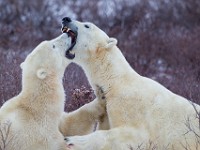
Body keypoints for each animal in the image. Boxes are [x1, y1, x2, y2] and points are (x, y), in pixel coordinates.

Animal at [61, 17, 200, 150]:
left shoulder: (131, 105)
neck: (116, 80)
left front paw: (74, 140)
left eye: (87, 25)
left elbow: (138, 136)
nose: (66, 19)